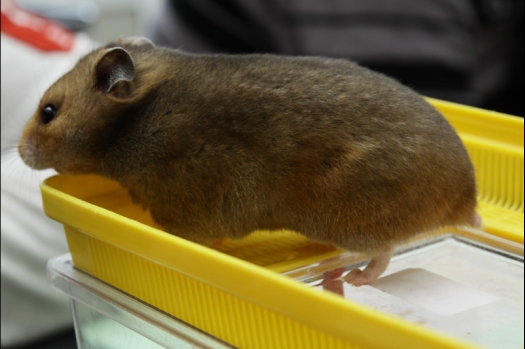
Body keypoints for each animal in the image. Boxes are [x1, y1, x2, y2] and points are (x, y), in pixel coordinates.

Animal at [18, 36, 482, 286]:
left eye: (48, 112)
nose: (20, 151)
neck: (135, 123)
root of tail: (466, 201)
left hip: (346, 214)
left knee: (383, 250)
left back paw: (351, 278)